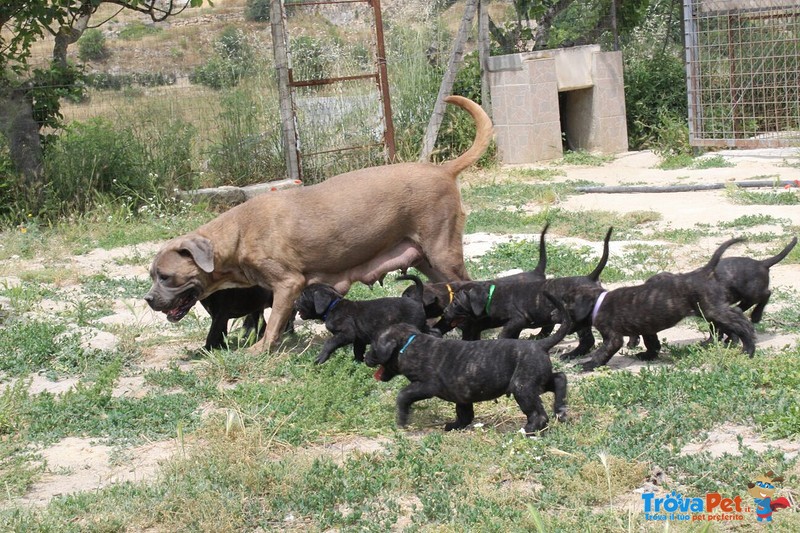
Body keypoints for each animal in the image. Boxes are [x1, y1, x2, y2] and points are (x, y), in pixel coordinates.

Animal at [146, 96, 490, 350]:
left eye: (165, 276)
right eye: (151, 275)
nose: (148, 299)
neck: (238, 234)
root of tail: (443, 169)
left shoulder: (287, 284)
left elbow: (272, 324)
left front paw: (260, 350)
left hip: (443, 253)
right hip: (425, 259)